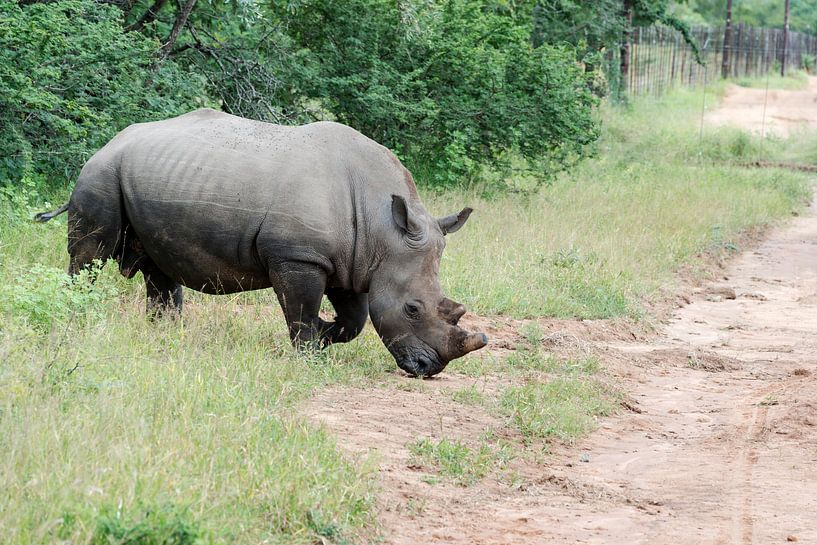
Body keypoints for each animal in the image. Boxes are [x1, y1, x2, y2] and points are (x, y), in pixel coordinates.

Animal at [35, 109, 488, 376]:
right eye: (412, 308)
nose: (429, 368)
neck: (382, 228)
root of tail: (108, 143)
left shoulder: (352, 262)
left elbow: (356, 320)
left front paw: (326, 335)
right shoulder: (299, 257)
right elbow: (301, 311)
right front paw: (310, 355)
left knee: (158, 270)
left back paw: (165, 335)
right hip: (99, 175)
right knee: (90, 256)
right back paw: (75, 318)